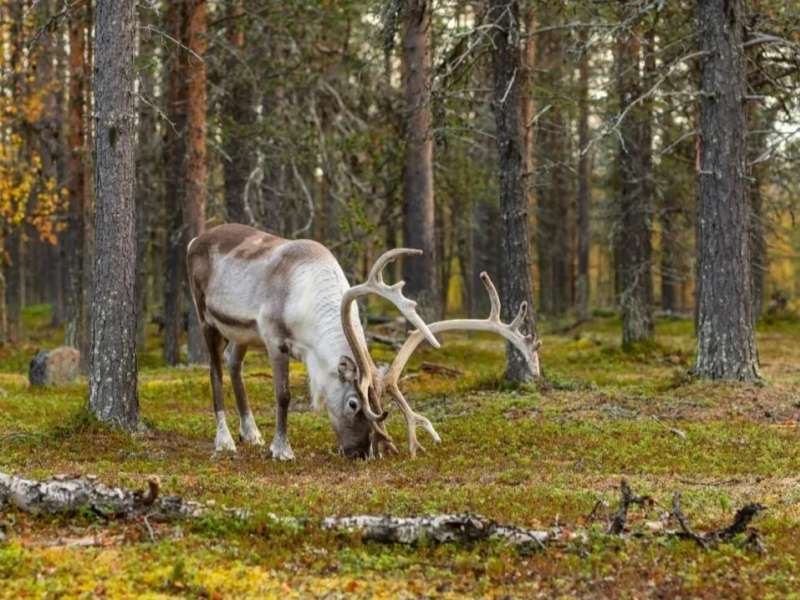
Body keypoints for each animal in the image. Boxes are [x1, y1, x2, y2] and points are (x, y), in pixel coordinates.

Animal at [186, 223, 540, 460]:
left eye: (382, 408)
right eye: (354, 404)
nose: (358, 452)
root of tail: (195, 239)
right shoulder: (274, 338)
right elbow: (283, 395)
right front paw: (282, 449)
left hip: (241, 332)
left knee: (233, 364)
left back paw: (251, 432)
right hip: (205, 317)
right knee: (215, 371)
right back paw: (225, 440)